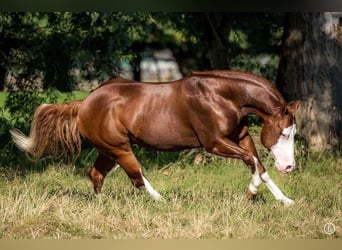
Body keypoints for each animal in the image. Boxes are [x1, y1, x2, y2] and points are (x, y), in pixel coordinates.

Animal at [10, 70, 300, 205]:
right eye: (284, 132)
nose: (289, 167)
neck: (223, 96)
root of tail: (84, 103)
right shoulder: (214, 143)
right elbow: (253, 161)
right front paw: (251, 193)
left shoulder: (240, 137)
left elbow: (259, 166)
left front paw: (285, 200)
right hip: (120, 149)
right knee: (137, 176)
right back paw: (162, 200)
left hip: (108, 151)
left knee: (96, 175)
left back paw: (102, 204)